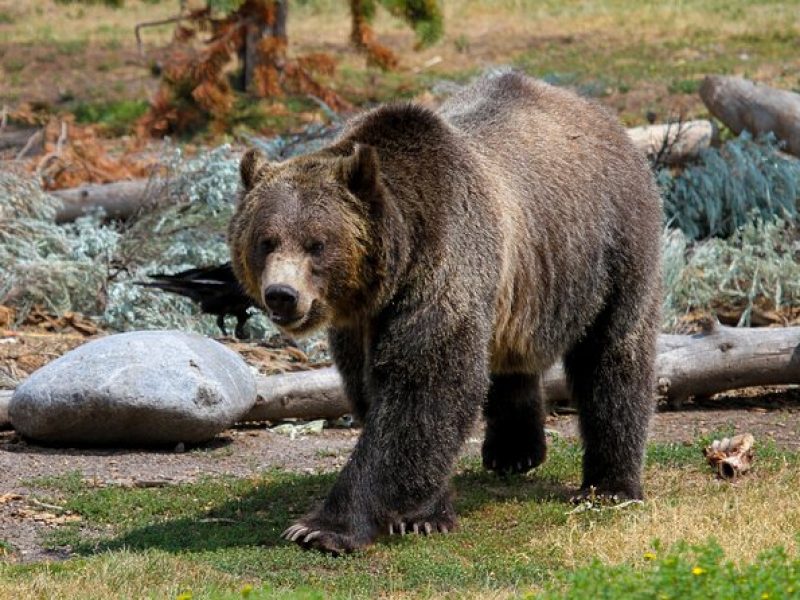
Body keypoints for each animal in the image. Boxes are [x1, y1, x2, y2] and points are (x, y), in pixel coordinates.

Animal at [227, 72, 664, 556]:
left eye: (316, 243)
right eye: (265, 240)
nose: (282, 295)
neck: (392, 269)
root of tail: (606, 119)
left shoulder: (444, 264)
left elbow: (425, 386)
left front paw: (322, 528)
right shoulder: (361, 321)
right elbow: (380, 394)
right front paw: (424, 513)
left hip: (609, 246)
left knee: (613, 357)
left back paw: (610, 486)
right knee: (510, 360)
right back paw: (514, 450)